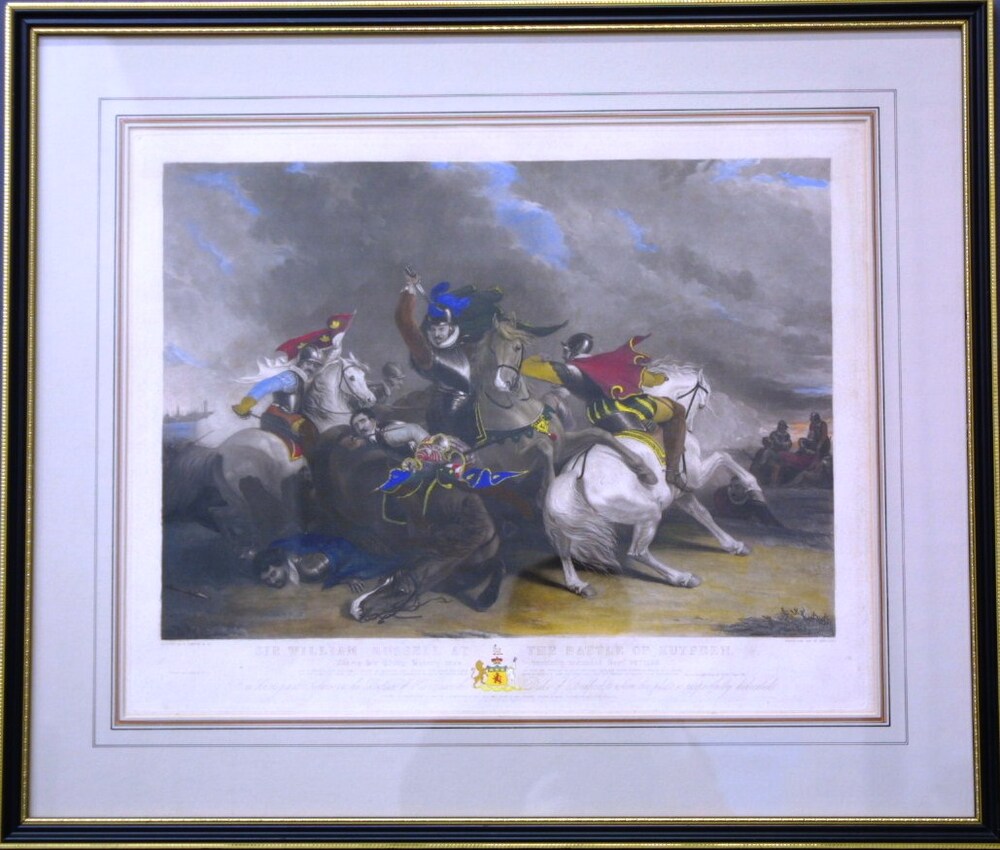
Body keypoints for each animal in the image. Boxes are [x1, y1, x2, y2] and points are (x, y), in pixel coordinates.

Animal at [210, 353, 377, 554]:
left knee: (220, 515)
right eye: (352, 377)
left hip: (235, 499)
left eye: (363, 375)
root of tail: (221, 453)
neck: (327, 422)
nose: (371, 399)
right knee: (256, 523)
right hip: (250, 495)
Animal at [541, 365, 760, 598]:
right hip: (649, 514)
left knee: (564, 547)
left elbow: (704, 515)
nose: (691, 425)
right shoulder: (696, 476)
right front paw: (752, 486)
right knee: (638, 552)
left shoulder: (683, 494)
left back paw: (578, 585)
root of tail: (576, 472)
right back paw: (682, 577)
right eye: (706, 391)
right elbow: (723, 457)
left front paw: (734, 545)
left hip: (570, 518)